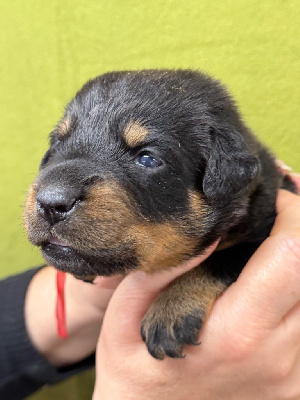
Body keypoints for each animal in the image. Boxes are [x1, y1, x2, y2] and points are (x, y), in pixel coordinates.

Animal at [23, 70, 296, 360]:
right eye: (56, 145)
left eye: (147, 159)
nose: (51, 202)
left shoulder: (262, 225)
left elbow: (222, 258)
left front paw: (171, 308)